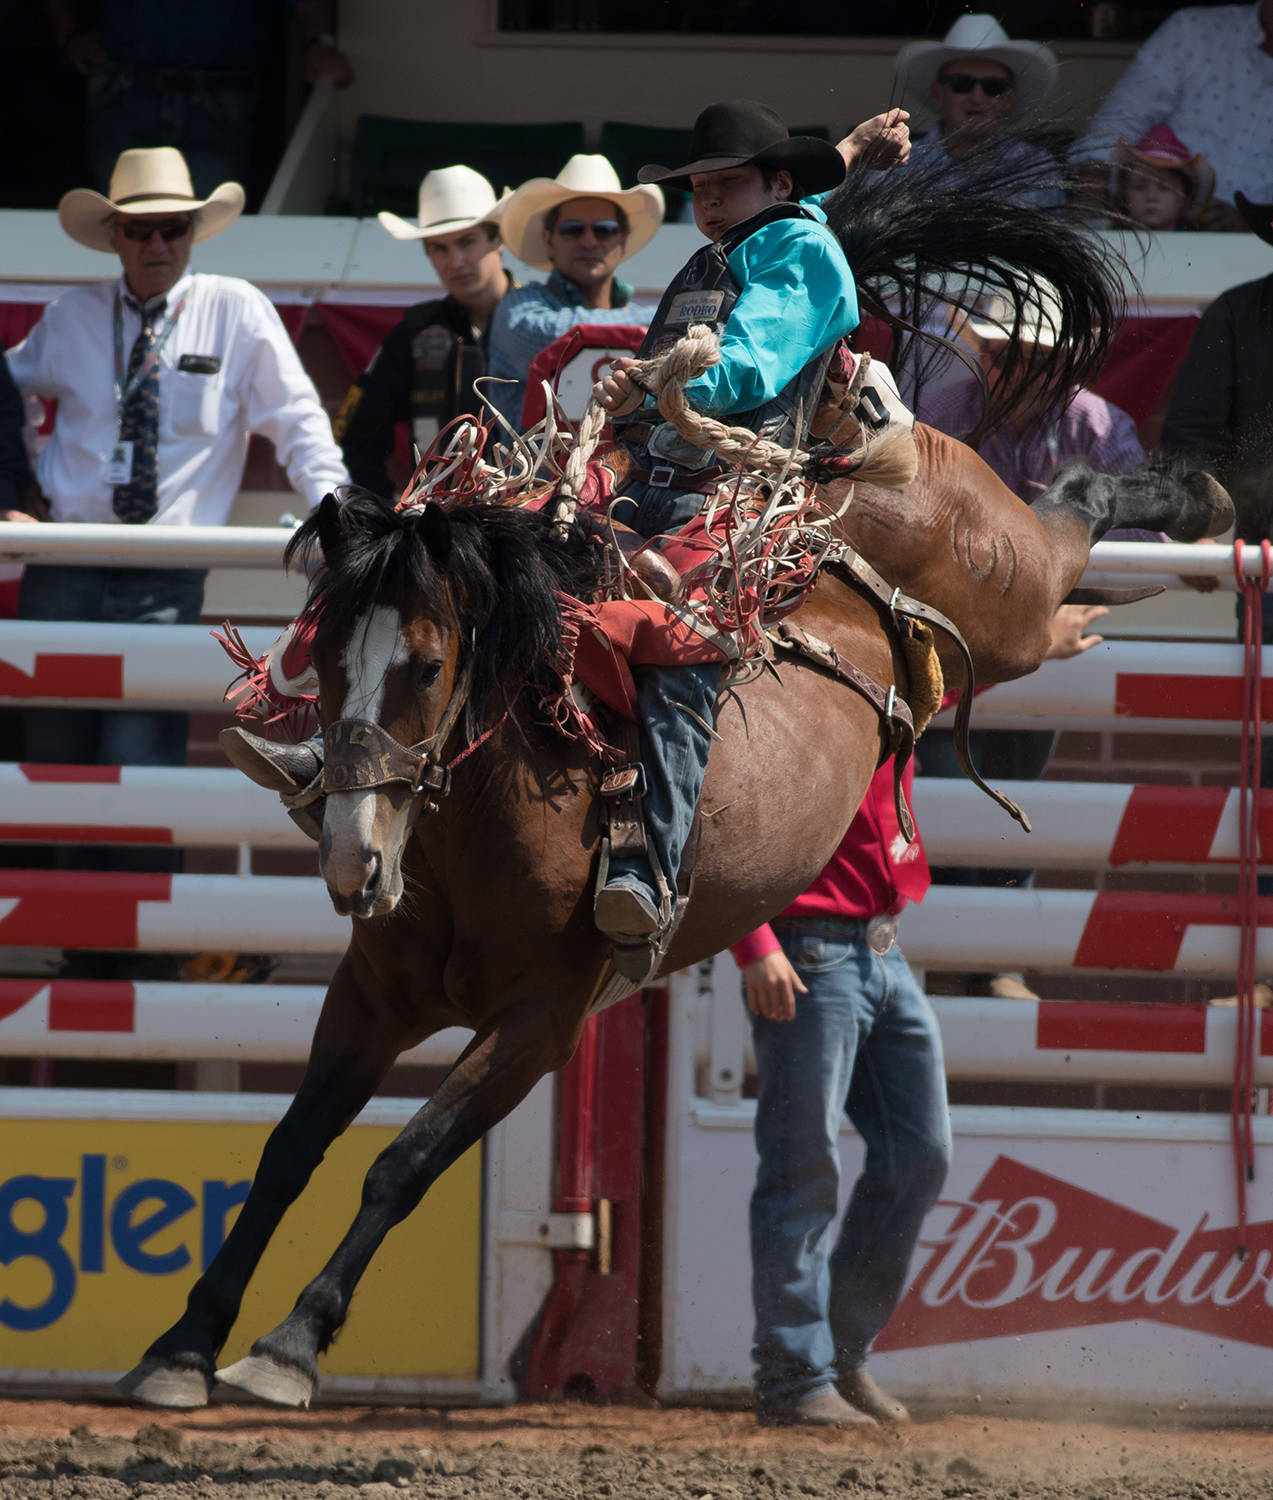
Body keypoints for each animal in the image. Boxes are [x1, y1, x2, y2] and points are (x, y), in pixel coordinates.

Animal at [119, 438, 1229, 1404]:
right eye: (327, 662)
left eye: (427, 667)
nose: (354, 859)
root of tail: (821, 483)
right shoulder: (370, 996)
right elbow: (287, 1151)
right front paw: (181, 1346)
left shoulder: (540, 1026)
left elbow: (404, 1163)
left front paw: (288, 1346)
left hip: (1006, 587)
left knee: (1068, 520)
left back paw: (1191, 503)